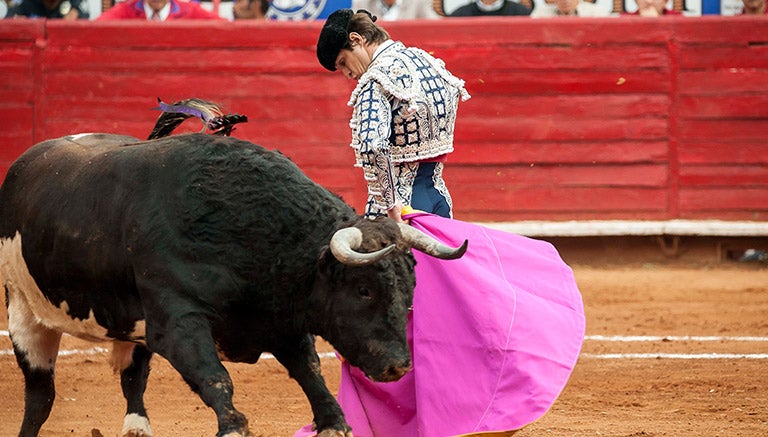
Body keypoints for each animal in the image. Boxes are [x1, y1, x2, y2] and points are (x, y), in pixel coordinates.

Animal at [0, 133, 468, 436]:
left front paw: (333, 421)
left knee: (132, 381)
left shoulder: (281, 320)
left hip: (130, 328)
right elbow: (215, 377)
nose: (398, 366)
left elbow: (310, 370)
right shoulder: (176, 322)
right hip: (24, 313)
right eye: (365, 290)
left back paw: (136, 428)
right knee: (40, 397)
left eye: (410, 290)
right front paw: (233, 425)